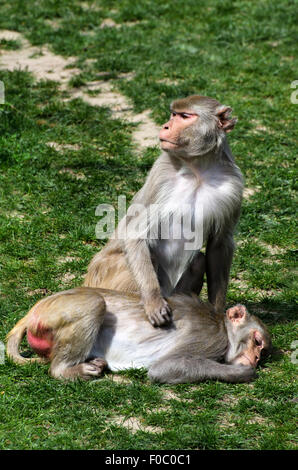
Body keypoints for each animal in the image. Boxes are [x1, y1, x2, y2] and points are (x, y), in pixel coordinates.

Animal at [7, 286, 272, 382]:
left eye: (264, 351)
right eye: (257, 341)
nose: (257, 358)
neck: (223, 327)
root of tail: (37, 308)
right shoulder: (209, 338)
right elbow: (163, 368)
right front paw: (241, 373)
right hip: (55, 313)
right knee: (95, 303)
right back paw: (67, 370)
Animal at [83, 96, 242, 326]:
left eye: (184, 116)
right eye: (173, 114)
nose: (166, 126)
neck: (197, 170)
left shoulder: (233, 187)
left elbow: (219, 244)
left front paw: (219, 313)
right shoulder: (160, 176)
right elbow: (135, 235)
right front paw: (153, 302)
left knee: (198, 260)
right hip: (104, 277)